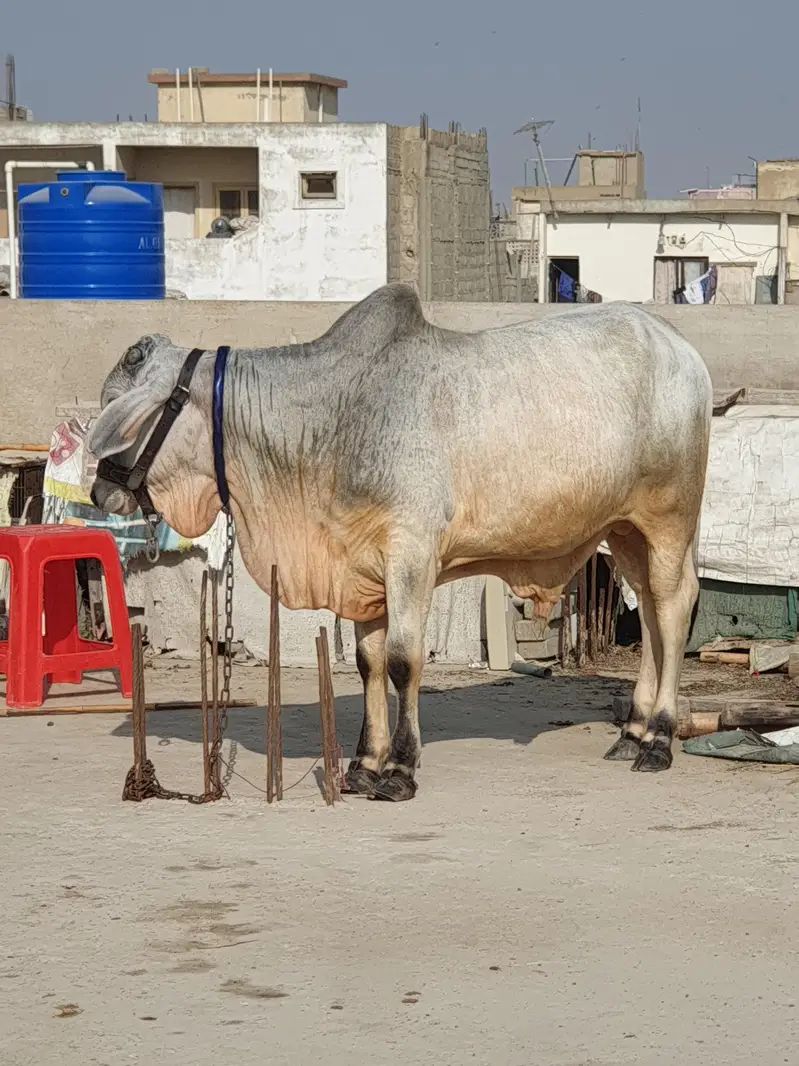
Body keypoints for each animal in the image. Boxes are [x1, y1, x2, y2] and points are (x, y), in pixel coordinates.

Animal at [89, 284, 712, 801]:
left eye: (120, 412)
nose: (98, 490)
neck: (331, 420)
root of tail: (680, 346)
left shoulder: (410, 555)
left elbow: (401, 660)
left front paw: (400, 768)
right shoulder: (360, 569)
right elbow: (367, 663)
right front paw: (365, 762)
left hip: (669, 520)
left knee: (672, 606)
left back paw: (659, 738)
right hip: (624, 531)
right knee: (650, 616)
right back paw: (632, 731)